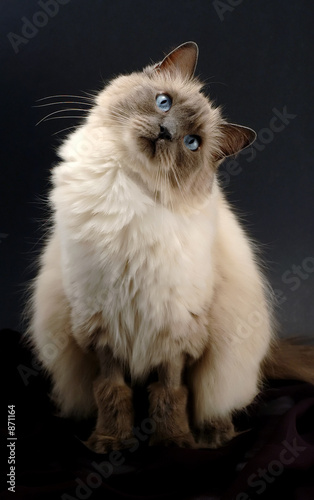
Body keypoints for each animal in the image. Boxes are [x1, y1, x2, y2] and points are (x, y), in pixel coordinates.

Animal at [27, 41, 314, 452]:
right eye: (164, 103)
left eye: (192, 143)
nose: (165, 131)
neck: (127, 191)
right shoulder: (101, 325)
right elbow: (111, 390)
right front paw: (110, 440)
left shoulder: (175, 332)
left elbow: (170, 392)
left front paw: (174, 443)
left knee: (218, 401)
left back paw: (213, 434)